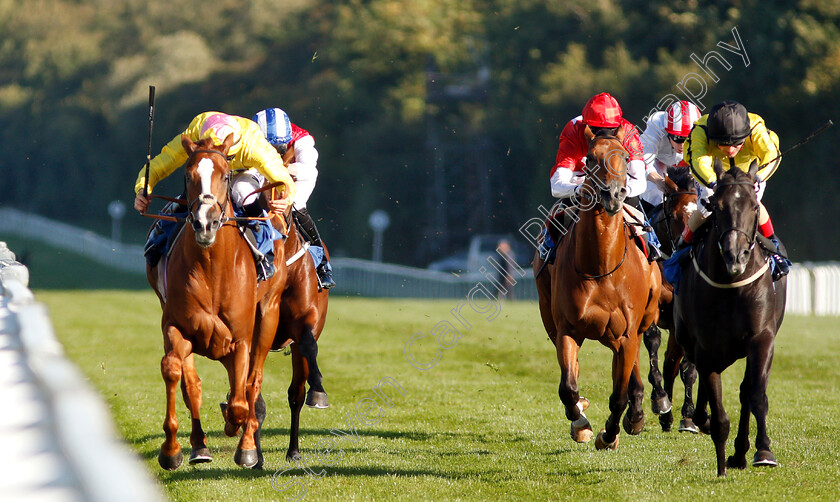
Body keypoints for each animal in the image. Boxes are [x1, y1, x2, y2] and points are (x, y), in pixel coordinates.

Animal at [146, 134, 288, 470]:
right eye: (188, 176)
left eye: (225, 176)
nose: (204, 223)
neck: (212, 268)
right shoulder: (176, 326)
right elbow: (175, 372)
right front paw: (171, 450)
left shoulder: (241, 338)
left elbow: (240, 399)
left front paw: (242, 440)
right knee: (193, 385)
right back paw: (199, 446)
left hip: (268, 316)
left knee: (253, 380)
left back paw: (246, 440)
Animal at [540, 127, 664, 450]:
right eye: (590, 158)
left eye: (625, 157)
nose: (613, 194)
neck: (601, 268)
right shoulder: (567, 329)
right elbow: (568, 387)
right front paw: (581, 423)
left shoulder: (626, 333)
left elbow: (619, 394)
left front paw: (610, 434)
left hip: (642, 320)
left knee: (636, 356)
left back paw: (638, 412)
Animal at [676, 159, 788, 476]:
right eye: (717, 206)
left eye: (753, 206)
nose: (735, 256)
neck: (731, 286)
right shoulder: (706, 348)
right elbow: (714, 410)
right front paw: (720, 463)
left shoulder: (762, 339)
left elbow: (756, 395)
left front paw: (763, 451)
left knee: (746, 390)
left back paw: (740, 452)